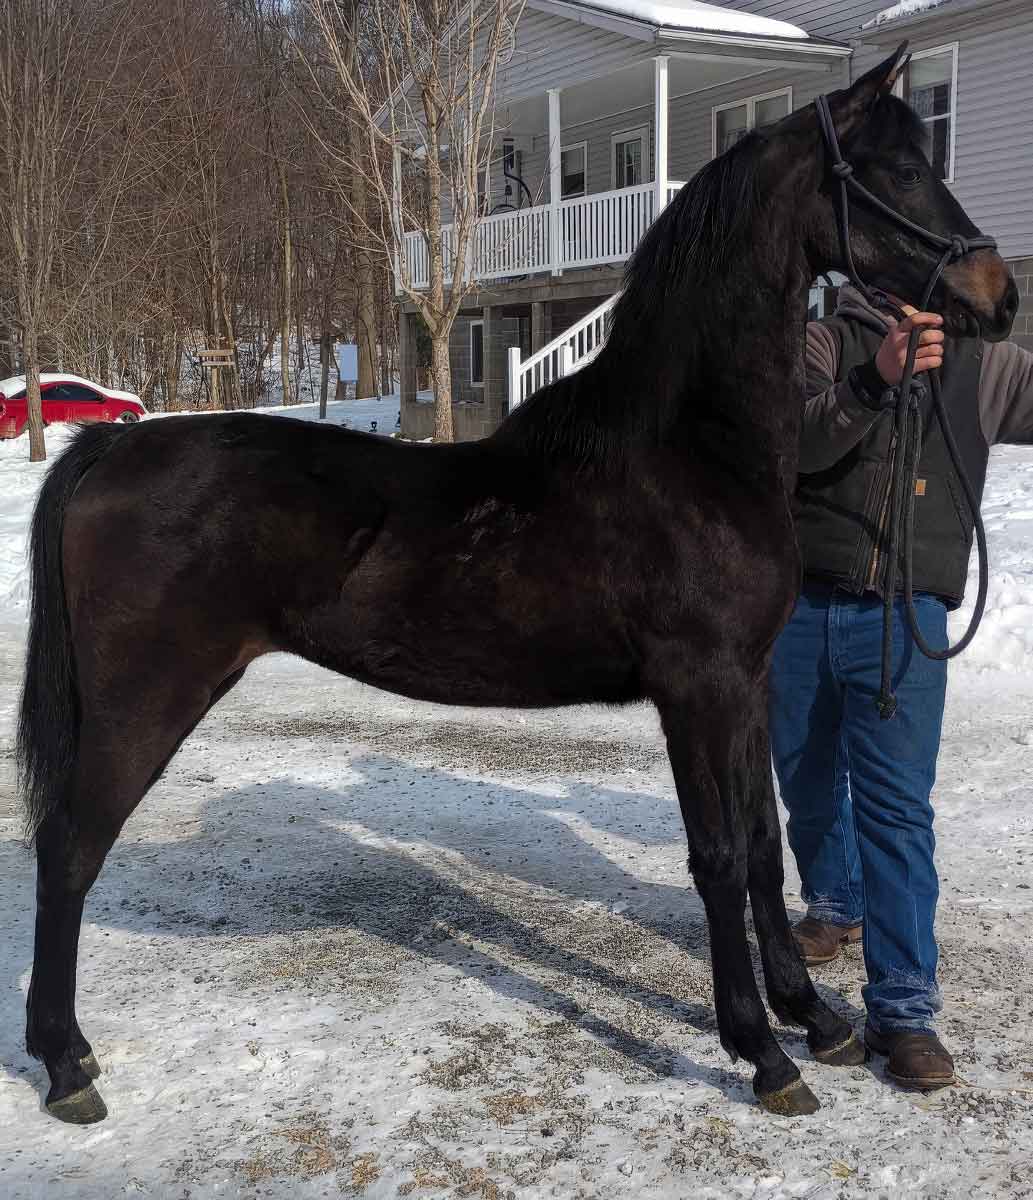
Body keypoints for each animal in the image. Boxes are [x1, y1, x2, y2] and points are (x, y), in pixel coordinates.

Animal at [18, 45, 1017, 1125]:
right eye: (898, 171)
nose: (999, 292)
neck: (688, 449)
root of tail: (110, 448)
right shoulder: (696, 689)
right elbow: (714, 859)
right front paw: (760, 1052)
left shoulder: (748, 684)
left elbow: (760, 847)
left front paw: (815, 1019)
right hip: (145, 702)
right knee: (68, 850)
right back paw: (66, 1066)